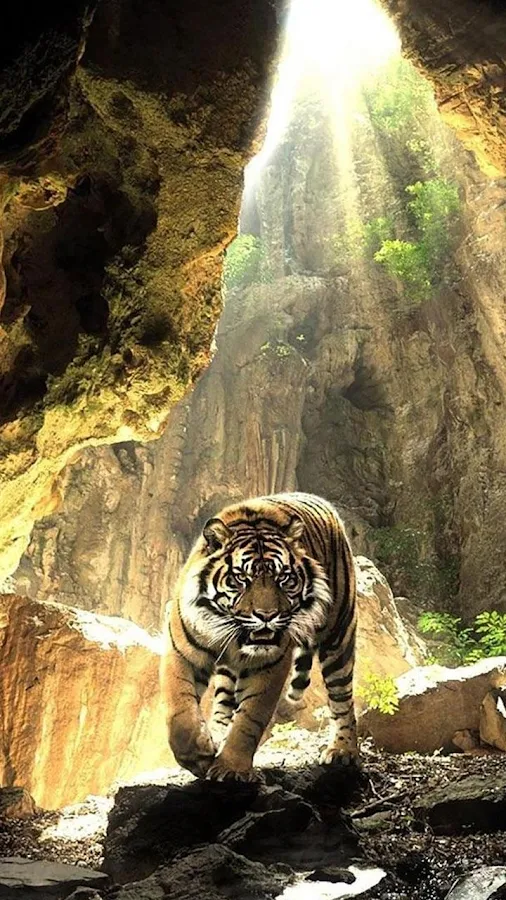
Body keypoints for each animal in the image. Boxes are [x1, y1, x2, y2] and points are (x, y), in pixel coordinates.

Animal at [160, 491, 358, 782]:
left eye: (284, 578)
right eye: (241, 578)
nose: (267, 615)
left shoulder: (269, 665)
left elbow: (250, 719)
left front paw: (231, 768)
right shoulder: (181, 652)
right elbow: (180, 710)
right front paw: (198, 755)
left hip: (338, 636)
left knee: (342, 697)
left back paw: (344, 750)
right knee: (223, 700)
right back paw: (216, 733)